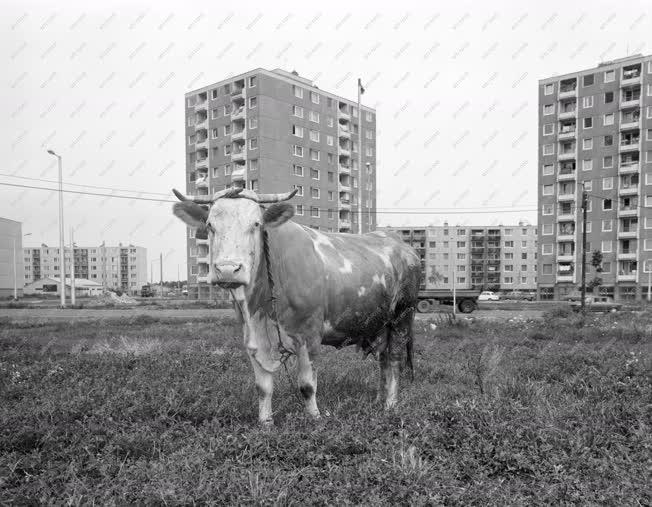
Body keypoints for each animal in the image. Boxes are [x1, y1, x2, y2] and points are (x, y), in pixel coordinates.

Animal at [171, 187, 420, 424]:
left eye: (256, 224)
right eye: (210, 225)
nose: (227, 269)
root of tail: (401, 244)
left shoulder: (309, 335)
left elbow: (307, 385)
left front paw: (315, 418)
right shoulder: (252, 338)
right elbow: (262, 387)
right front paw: (265, 423)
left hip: (402, 317)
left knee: (394, 358)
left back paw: (390, 405)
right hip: (379, 324)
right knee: (383, 359)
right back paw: (379, 399)